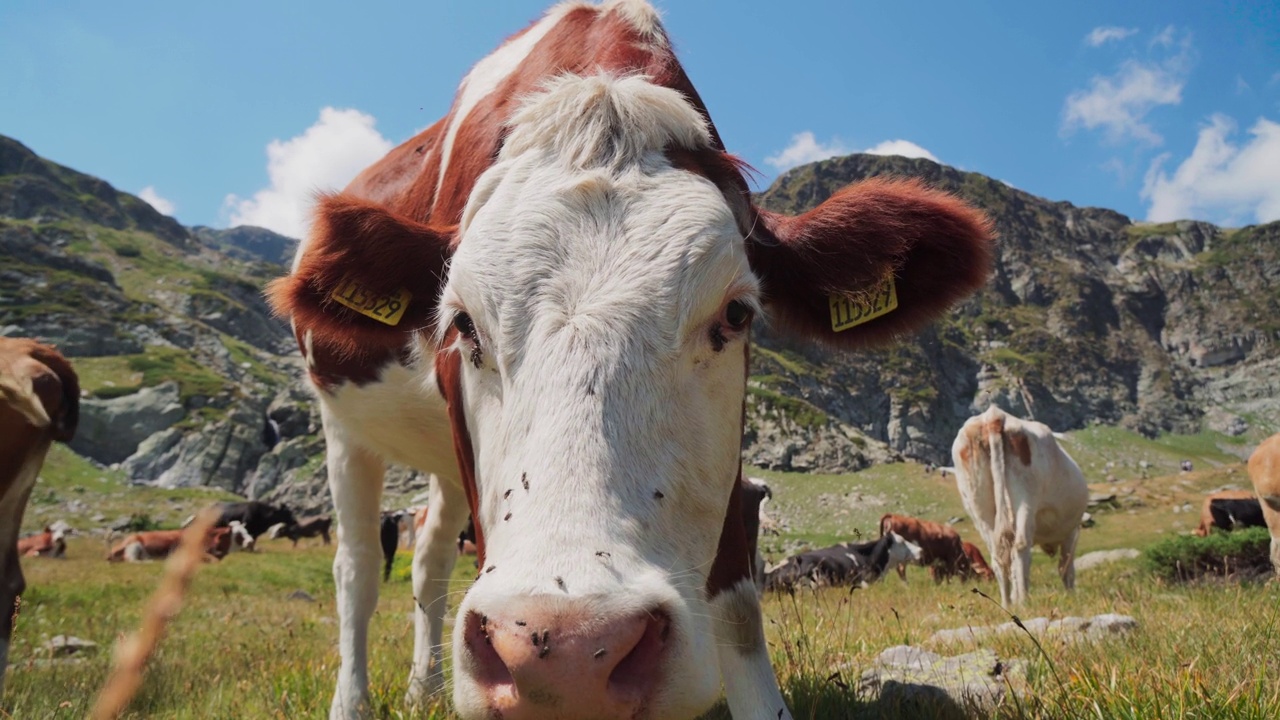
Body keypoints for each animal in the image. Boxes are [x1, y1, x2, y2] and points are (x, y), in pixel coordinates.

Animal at [957, 404, 1085, 604]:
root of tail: (994, 415)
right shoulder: (1072, 531)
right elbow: (1066, 567)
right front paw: (1070, 594)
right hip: (1025, 496)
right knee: (1020, 546)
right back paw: (1024, 602)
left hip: (978, 503)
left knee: (999, 555)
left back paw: (1007, 603)